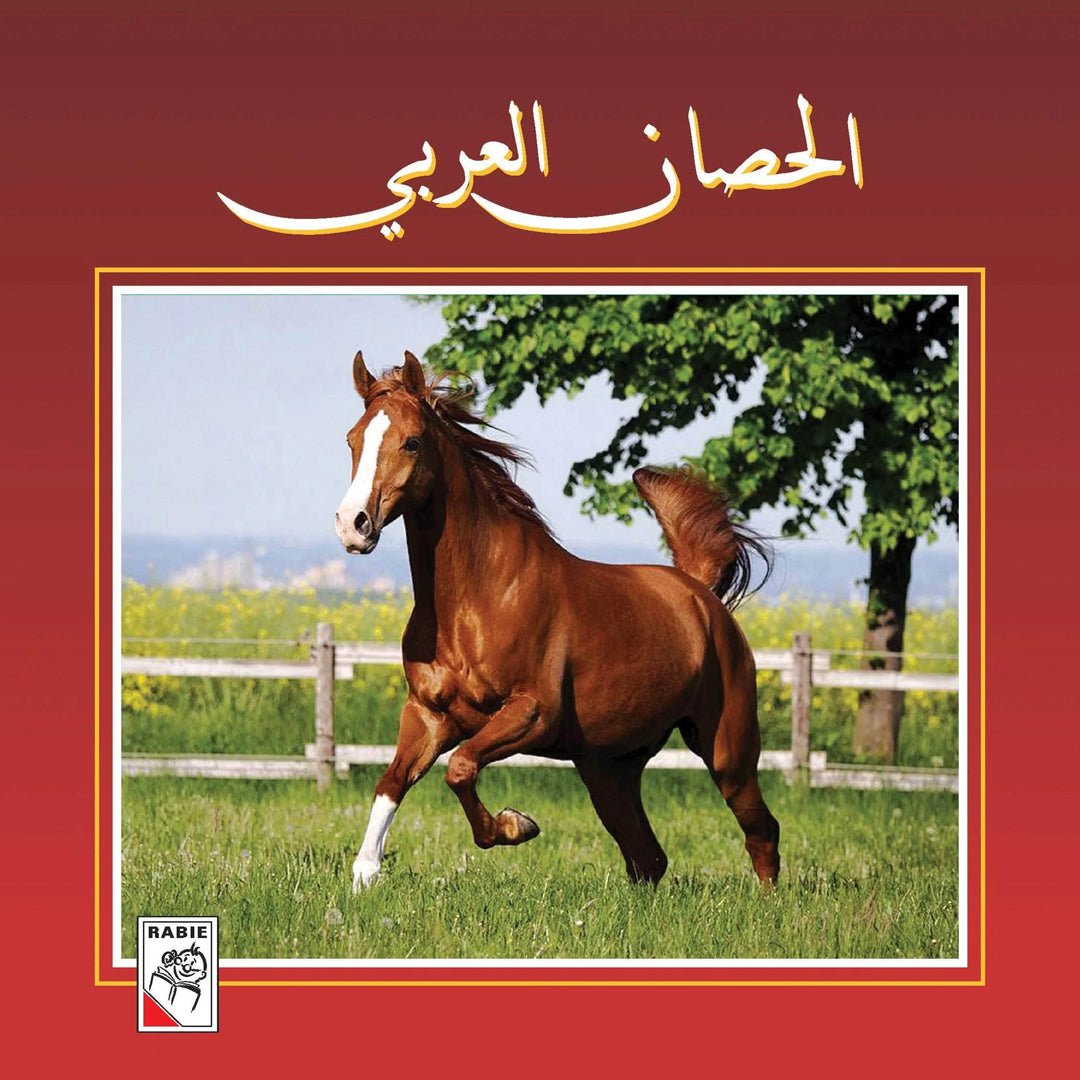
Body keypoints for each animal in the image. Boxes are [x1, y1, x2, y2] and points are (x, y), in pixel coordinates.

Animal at [334, 350, 780, 891]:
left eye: (412, 441)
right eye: (353, 439)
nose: (353, 525)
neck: (476, 599)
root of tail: (698, 592)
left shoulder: (532, 713)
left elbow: (460, 767)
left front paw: (516, 825)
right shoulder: (428, 714)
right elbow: (392, 782)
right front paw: (365, 873)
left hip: (728, 750)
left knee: (760, 829)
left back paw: (770, 902)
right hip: (608, 770)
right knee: (648, 858)